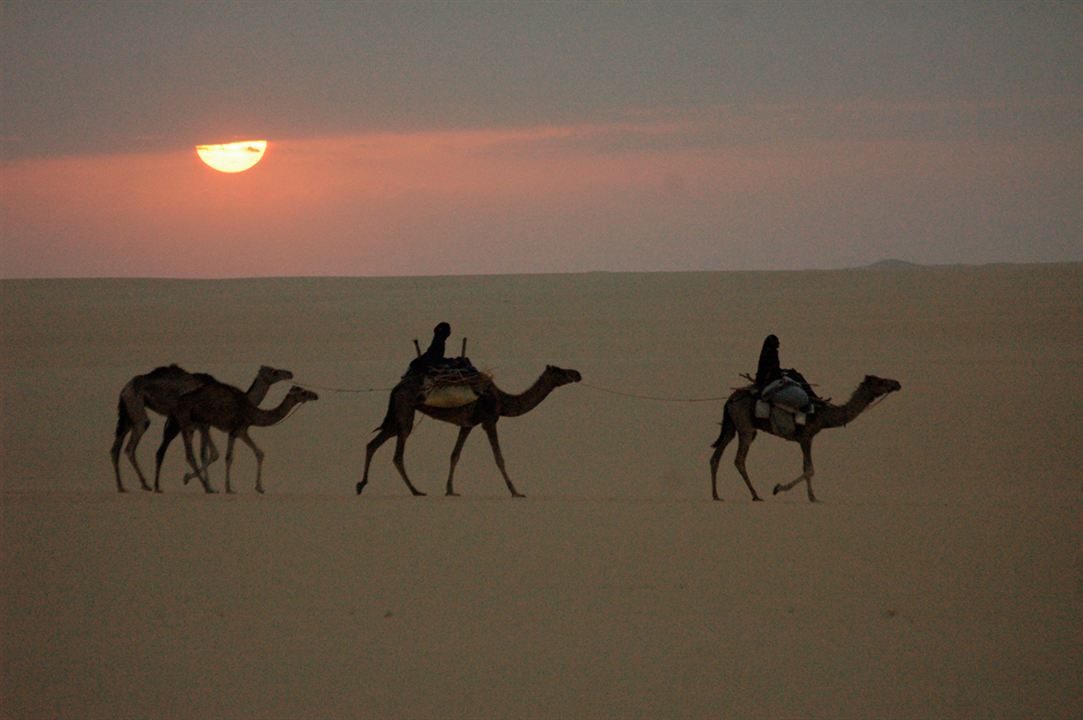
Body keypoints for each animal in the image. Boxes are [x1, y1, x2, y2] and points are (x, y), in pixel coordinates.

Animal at [109, 361, 292, 491]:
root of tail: (126, 387)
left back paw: (130, 486)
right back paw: (147, 485)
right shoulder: (203, 424)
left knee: (120, 446)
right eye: (274, 372)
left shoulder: (200, 425)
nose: (289, 373)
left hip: (129, 410)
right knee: (135, 443)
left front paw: (206, 484)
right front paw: (206, 485)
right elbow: (209, 454)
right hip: (139, 407)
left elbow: (207, 454)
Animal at [172, 381, 316, 493]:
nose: (315, 395)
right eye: (303, 393)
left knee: (199, 453)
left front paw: (259, 487)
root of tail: (179, 401)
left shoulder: (241, 431)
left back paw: (201, 483)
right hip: (191, 422)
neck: (251, 413)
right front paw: (229, 488)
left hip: (196, 425)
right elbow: (229, 458)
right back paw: (204, 485)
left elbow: (259, 453)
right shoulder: (235, 431)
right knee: (196, 454)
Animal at [355, 361, 580, 498]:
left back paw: (361, 484)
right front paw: (516, 492)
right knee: (397, 454)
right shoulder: (489, 420)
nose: (577, 373)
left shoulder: (467, 424)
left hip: (397, 415)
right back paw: (416, 490)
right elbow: (499, 457)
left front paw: (450, 490)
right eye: (560, 371)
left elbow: (455, 455)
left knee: (372, 443)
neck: (503, 401)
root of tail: (396, 389)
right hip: (405, 412)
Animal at [706, 376, 901, 500]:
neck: (824, 416)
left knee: (716, 455)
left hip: (732, 425)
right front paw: (792, 492)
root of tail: (730, 400)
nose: (897, 383)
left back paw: (716, 495)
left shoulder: (805, 439)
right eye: (881, 381)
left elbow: (807, 468)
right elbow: (809, 469)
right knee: (739, 459)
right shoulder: (807, 437)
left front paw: (807, 494)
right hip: (745, 426)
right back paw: (755, 495)